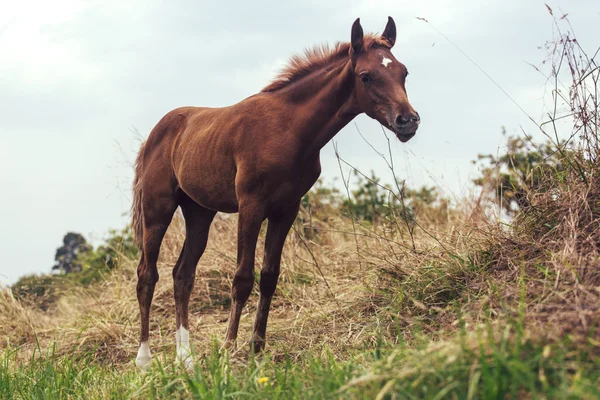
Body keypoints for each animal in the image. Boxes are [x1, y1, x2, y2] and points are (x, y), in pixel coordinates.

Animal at [133, 18, 420, 368]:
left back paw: (185, 359)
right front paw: (228, 349)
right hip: (157, 209)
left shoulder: (286, 209)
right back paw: (144, 360)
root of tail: (153, 136)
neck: (289, 129)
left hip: (199, 212)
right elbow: (243, 278)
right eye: (366, 76)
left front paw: (257, 349)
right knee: (147, 275)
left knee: (182, 275)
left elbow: (269, 275)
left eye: (403, 72)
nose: (408, 121)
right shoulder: (251, 205)